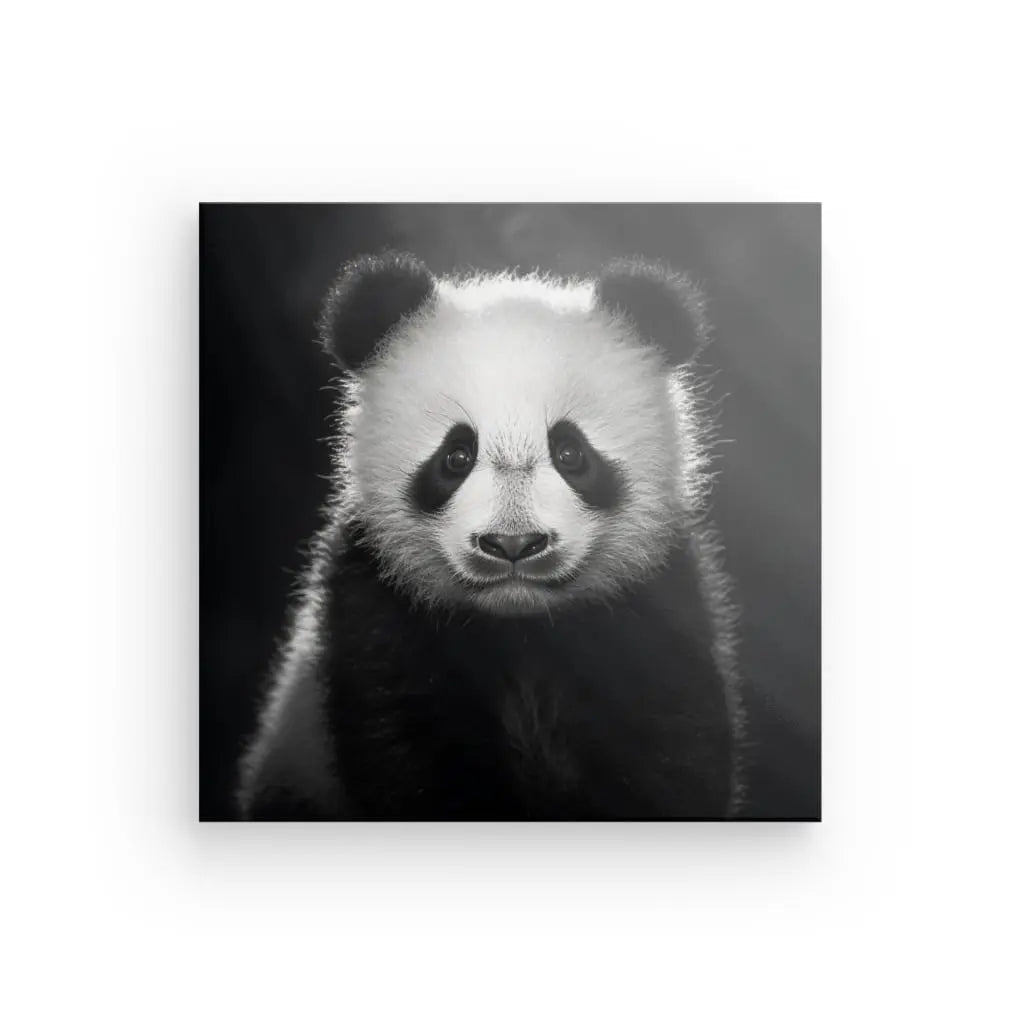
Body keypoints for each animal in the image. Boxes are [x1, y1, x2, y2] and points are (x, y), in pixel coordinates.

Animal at [238, 252, 745, 820]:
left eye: (571, 453)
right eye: (456, 456)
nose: (513, 545)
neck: (520, 630)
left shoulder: (655, 609)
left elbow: (673, 752)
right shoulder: (376, 611)